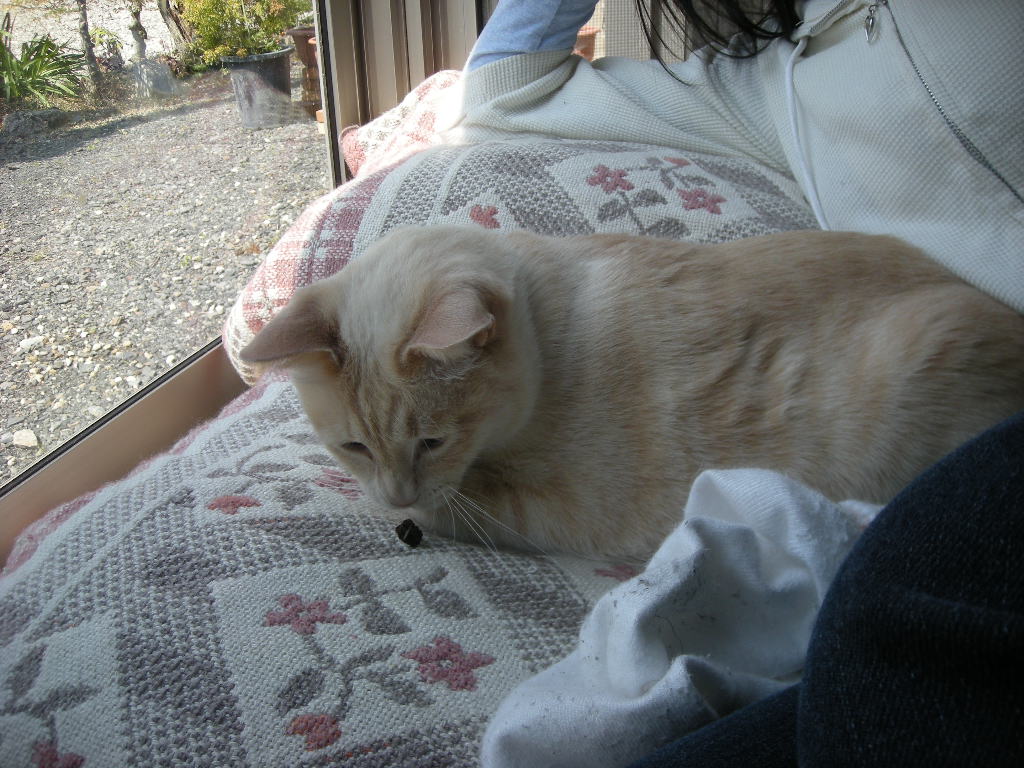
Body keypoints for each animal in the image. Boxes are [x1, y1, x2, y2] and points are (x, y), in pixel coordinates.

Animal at [240, 225, 1024, 561]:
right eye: (353, 446)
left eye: (432, 441)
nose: (394, 492)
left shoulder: (555, 510)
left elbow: (457, 508)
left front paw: (412, 514)